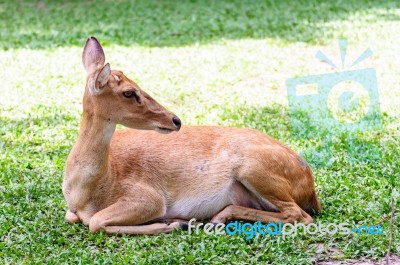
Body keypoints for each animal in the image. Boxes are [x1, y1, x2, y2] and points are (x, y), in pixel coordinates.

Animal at [62, 36, 322, 233]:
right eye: (128, 92)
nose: (175, 120)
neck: (88, 191)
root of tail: (310, 188)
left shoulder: (148, 196)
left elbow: (96, 222)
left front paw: (176, 222)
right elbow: (76, 218)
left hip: (254, 166)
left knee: (298, 215)